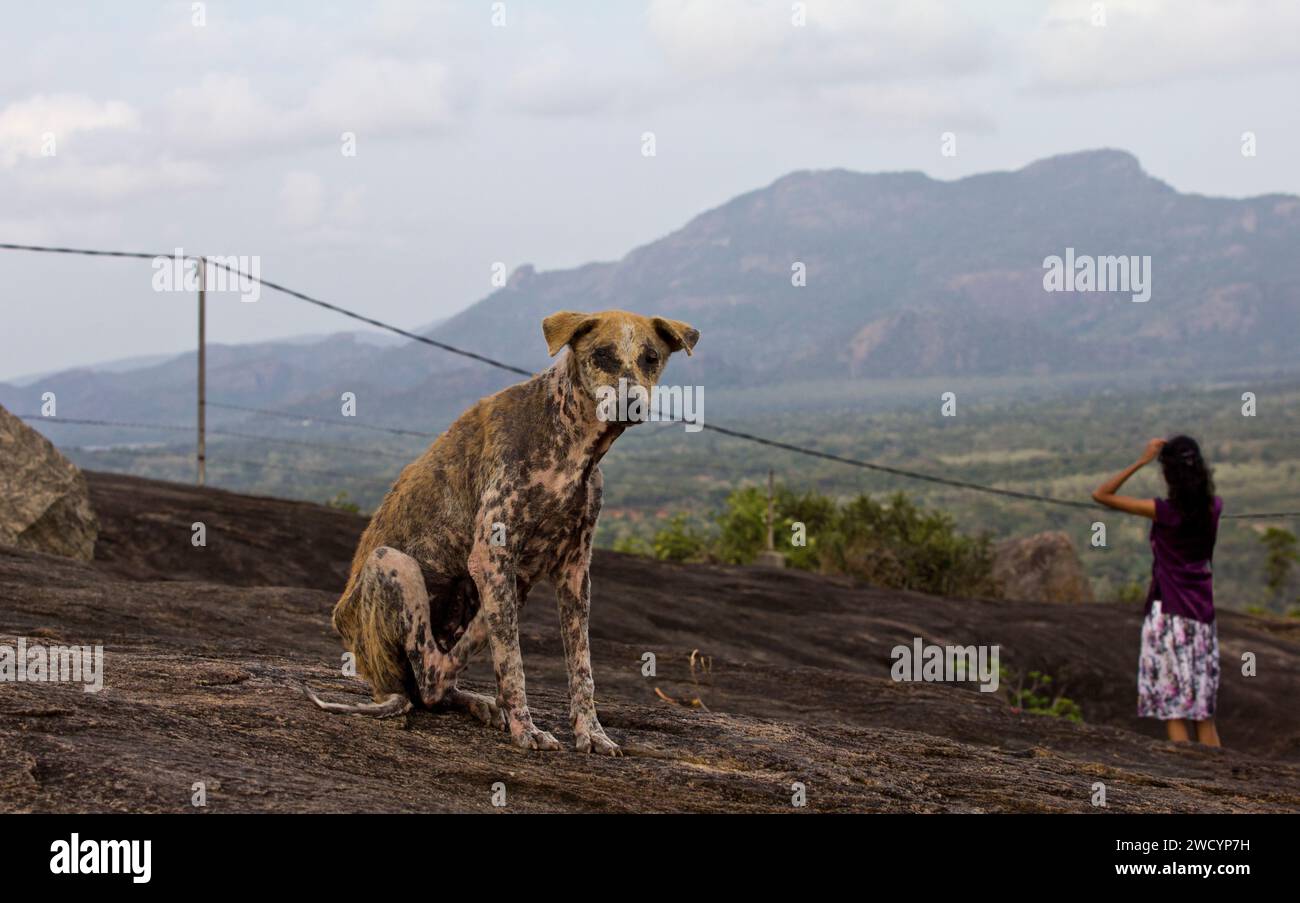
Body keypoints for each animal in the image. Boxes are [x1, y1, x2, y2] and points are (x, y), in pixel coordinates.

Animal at [308, 310, 702, 753]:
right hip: (395, 563)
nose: (631, 402)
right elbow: (513, 663)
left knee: (439, 687)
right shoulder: (492, 555)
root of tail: (381, 686)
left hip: (480, 591)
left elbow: (581, 667)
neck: (567, 434)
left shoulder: (574, 572)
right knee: (430, 675)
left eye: (651, 358)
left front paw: (591, 731)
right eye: (601, 354)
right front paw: (526, 729)